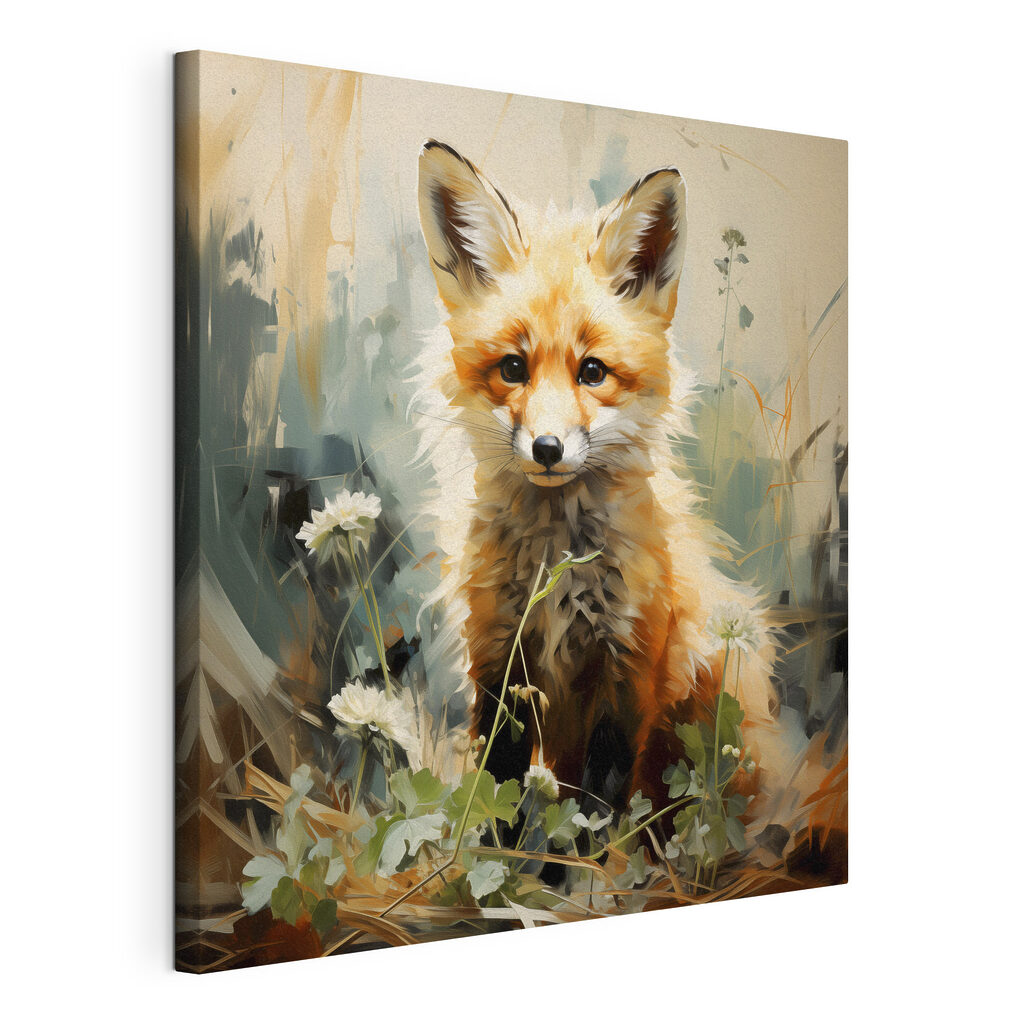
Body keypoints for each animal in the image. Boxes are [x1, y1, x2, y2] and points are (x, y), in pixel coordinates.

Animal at [414, 140, 780, 818]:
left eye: (592, 371)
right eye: (512, 368)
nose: (547, 449)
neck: (558, 564)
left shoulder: (628, 672)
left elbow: (598, 811)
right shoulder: (499, 662)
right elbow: (495, 799)